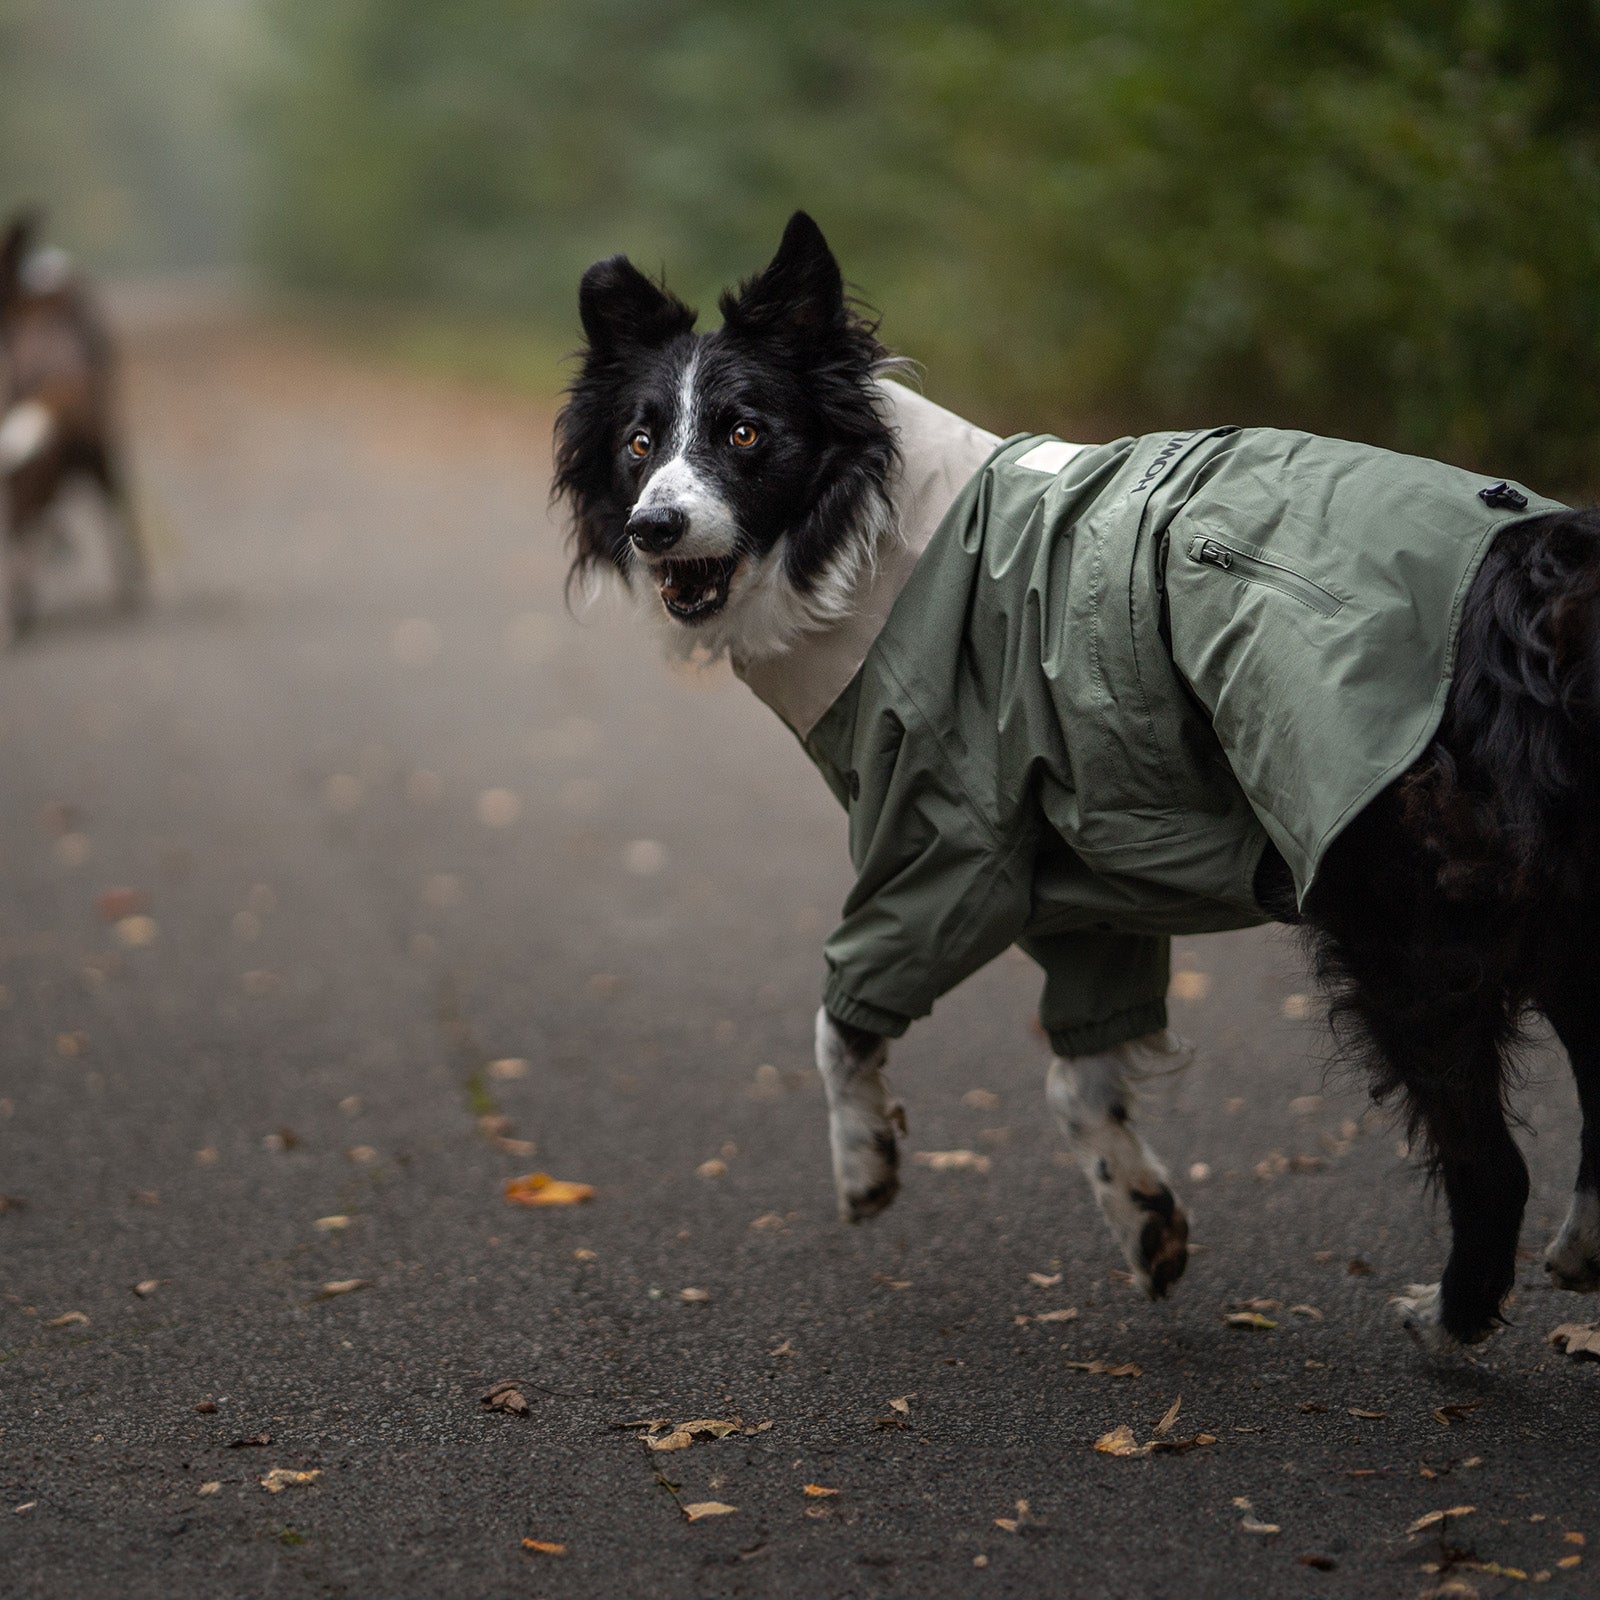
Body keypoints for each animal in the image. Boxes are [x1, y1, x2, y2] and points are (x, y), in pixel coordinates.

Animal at [553, 203, 1600, 1350]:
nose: (653, 526)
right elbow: (1078, 1075)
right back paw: (1579, 1250)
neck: (877, 538)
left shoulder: (946, 838)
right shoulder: (1092, 856)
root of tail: (1542, 582)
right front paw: (1143, 1217)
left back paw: (1450, 1319)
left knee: (1491, 1162)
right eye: (639, 444)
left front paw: (865, 1161)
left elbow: (838, 1016)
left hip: (1407, 924)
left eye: (745, 433)